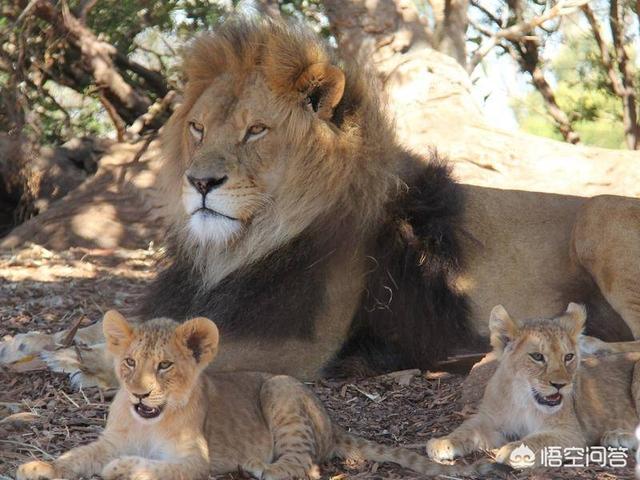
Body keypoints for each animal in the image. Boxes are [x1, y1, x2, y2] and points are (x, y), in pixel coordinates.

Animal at [1, 15, 640, 386]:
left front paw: (72, 359)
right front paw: (29, 341)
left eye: (256, 131)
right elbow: (114, 328)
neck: (238, 248)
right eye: (199, 129)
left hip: (598, 215)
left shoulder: (298, 345)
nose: (200, 183)